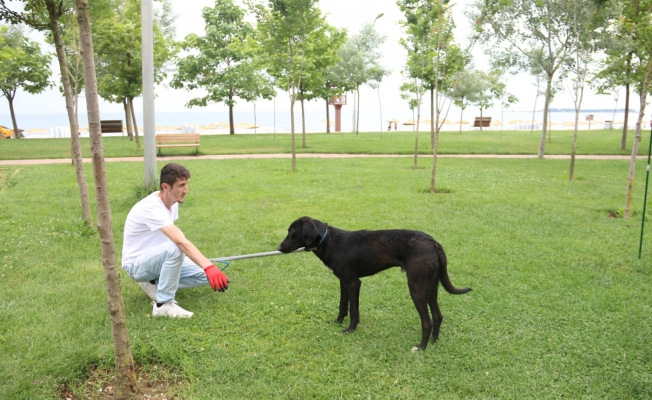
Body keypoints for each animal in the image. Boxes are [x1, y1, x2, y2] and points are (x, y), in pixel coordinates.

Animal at [278, 216, 472, 350]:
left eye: (292, 233)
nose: (279, 248)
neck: (329, 241)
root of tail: (434, 244)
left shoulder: (353, 283)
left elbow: (353, 311)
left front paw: (350, 330)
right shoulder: (343, 282)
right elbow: (343, 306)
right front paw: (338, 321)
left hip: (416, 289)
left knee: (428, 322)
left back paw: (421, 347)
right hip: (430, 287)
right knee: (438, 316)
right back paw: (434, 342)